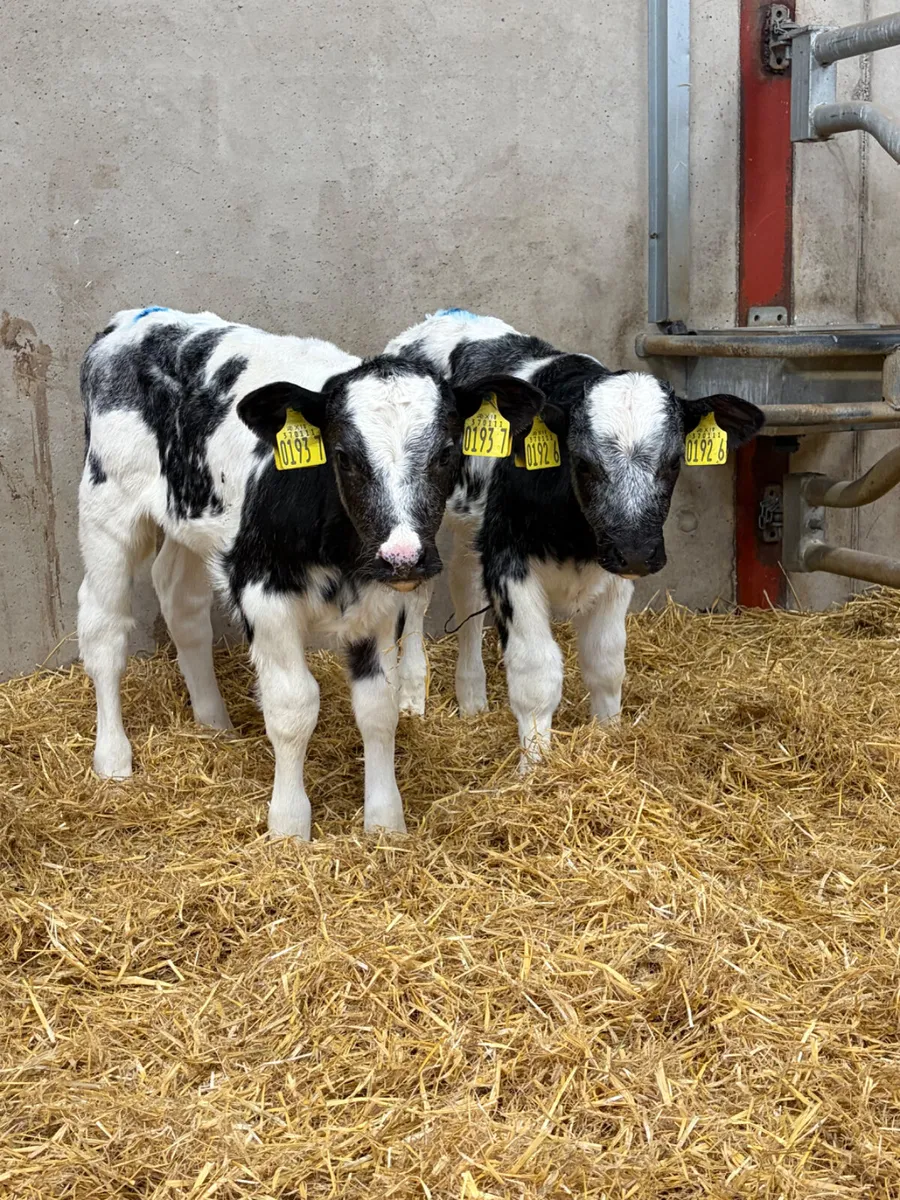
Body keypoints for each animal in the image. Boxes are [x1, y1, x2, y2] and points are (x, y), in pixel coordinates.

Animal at [77, 306, 543, 837]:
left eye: (447, 452)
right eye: (344, 456)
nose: (403, 556)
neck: (339, 550)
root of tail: (134, 321)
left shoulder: (380, 604)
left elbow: (378, 709)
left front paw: (385, 822)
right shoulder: (263, 593)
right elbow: (293, 706)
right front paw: (289, 825)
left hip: (191, 521)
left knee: (181, 603)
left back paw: (214, 723)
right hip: (107, 510)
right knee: (104, 629)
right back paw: (113, 757)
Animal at [385, 309, 765, 768]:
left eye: (674, 462)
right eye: (583, 462)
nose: (637, 552)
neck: (574, 540)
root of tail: (443, 317)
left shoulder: (612, 566)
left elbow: (605, 662)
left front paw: (609, 734)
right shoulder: (510, 561)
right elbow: (536, 673)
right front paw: (534, 767)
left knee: (465, 585)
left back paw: (472, 698)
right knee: (422, 596)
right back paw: (411, 697)